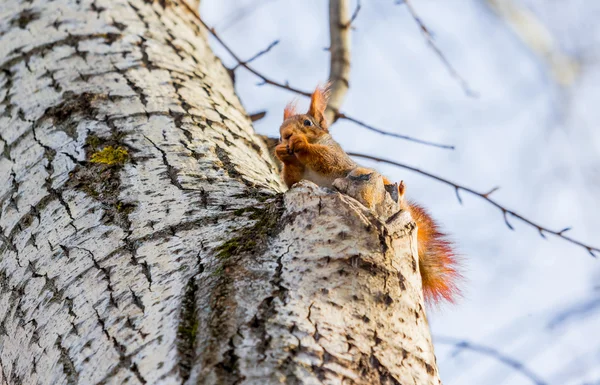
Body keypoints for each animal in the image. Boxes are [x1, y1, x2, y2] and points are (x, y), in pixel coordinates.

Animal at [274, 85, 462, 306]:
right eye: (279, 132)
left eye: (307, 122)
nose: (286, 135)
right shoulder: (299, 176)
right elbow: (292, 178)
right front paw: (281, 153)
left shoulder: (337, 158)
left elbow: (326, 159)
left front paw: (301, 142)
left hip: (364, 178)